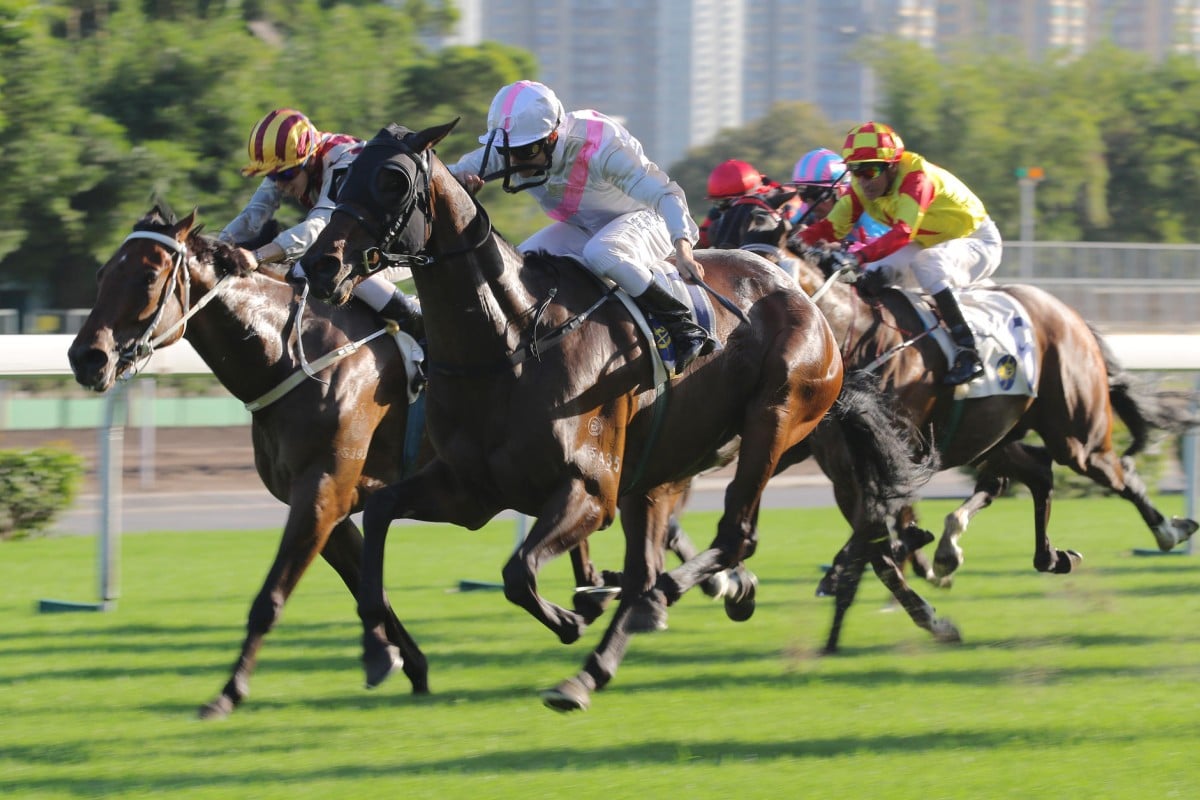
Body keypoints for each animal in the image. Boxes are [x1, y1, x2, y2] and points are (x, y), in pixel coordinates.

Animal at [65, 206, 436, 719]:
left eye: (147, 276)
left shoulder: (322, 493)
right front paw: (405, 663)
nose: (86, 357)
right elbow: (371, 585)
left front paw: (227, 692)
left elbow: (270, 598)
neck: (296, 356)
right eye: (103, 273)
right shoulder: (329, 503)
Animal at [297, 120, 926, 714]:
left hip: (773, 421)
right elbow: (381, 515)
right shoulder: (469, 490)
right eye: (341, 178)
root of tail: (800, 296)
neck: (510, 342)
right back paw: (596, 665)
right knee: (655, 564)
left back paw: (672, 598)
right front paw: (378, 651)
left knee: (732, 537)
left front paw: (572, 617)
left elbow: (518, 573)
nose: (319, 264)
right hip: (659, 470)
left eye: (394, 180)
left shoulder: (590, 491)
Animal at [705, 196, 1195, 652]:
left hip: (1073, 432)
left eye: (757, 267)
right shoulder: (846, 473)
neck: (857, 338)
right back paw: (1044, 556)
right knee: (1037, 472)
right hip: (995, 435)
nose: (731, 340)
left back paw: (1169, 530)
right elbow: (876, 550)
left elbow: (876, 545)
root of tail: (1068, 313)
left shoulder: (888, 465)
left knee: (1114, 470)